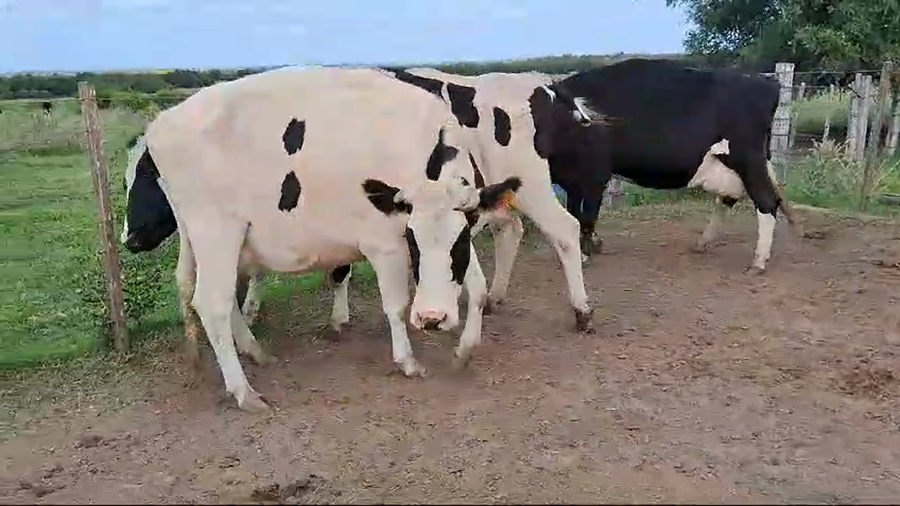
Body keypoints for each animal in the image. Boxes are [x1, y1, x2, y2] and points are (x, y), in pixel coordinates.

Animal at [120, 67, 523, 412]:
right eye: (413, 239)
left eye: (461, 237)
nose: (433, 318)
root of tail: (161, 125)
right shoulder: (384, 244)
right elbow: (395, 307)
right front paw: (407, 361)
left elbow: (478, 288)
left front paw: (464, 350)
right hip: (217, 232)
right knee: (212, 303)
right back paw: (244, 391)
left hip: (203, 240)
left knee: (203, 291)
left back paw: (254, 352)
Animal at [547, 58, 802, 273]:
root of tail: (765, 82)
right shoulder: (573, 181)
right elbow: (573, 212)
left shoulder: (595, 176)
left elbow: (587, 215)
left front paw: (584, 254)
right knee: (729, 198)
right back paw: (703, 243)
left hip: (748, 159)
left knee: (766, 201)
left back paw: (758, 262)